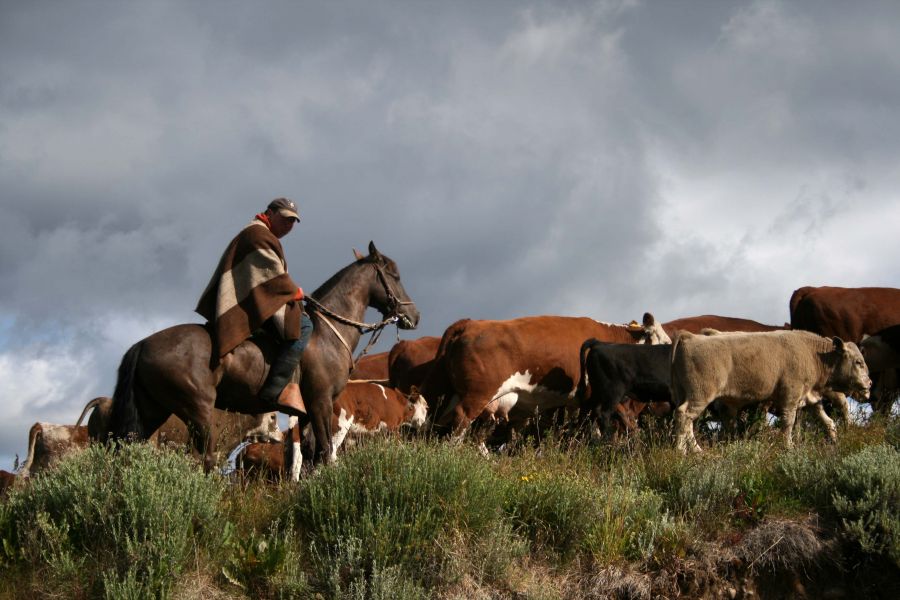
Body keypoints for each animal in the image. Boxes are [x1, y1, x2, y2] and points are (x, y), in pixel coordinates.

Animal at [107, 241, 420, 472]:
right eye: (394, 275)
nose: (413, 315)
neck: (327, 333)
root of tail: (143, 344)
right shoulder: (320, 402)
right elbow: (325, 451)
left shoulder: (306, 412)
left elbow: (310, 457)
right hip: (198, 411)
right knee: (205, 459)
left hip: (152, 412)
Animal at [420, 314, 668, 446]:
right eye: (665, 342)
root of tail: (470, 323)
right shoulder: (601, 395)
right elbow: (622, 420)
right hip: (477, 395)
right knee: (460, 423)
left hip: (445, 393)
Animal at [672, 330, 868, 452]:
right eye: (858, 362)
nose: (869, 383)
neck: (813, 354)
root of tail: (690, 337)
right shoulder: (790, 397)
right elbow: (788, 422)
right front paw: (788, 446)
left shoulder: (811, 399)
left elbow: (828, 421)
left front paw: (834, 440)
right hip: (700, 396)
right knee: (684, 415)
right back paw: (683, 450)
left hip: (685, 394)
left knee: (686, 421)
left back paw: (695, 450)